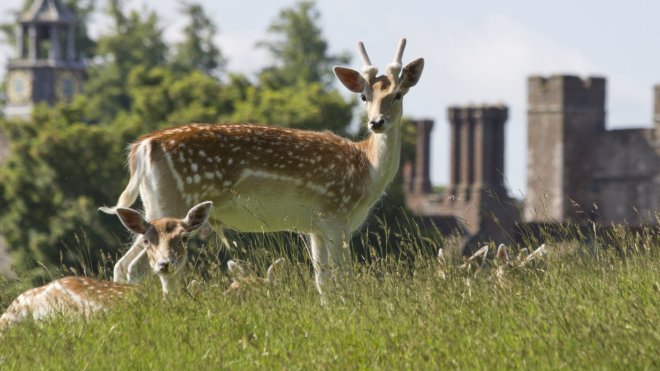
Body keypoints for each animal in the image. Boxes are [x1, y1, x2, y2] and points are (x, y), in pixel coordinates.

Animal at [100, 38, 426, 300]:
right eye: (364, 97)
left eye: (398, 94)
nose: (376, 122)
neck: (367, 170)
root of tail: (143, 147)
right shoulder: (336, 214)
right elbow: (342, 277)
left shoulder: (316, 226)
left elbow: (322, 281)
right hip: (173, 201)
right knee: (138, 266)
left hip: (154, 203)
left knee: (123, 264)